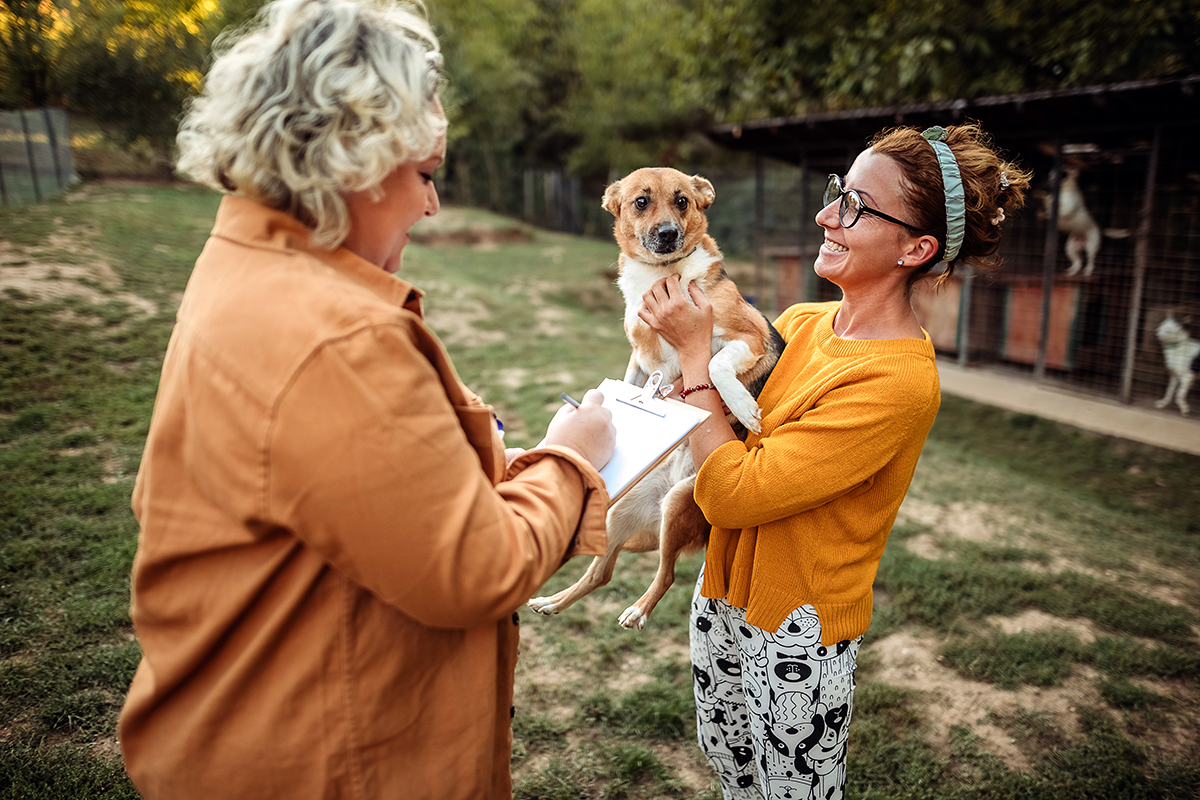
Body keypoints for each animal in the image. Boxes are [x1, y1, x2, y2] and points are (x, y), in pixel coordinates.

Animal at [530, 169, 782, 628]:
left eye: (682, 201)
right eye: (641, 202)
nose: (668, 234)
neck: (662, 276)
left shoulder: (748, 335)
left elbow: (714, 365)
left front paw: (742, 407)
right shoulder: (638, 359)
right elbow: (627, 383)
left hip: (680, 503)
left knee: (665, 575)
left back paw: (638, 610)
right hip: (620, 510)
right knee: (601, 572)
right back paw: (553, 601)